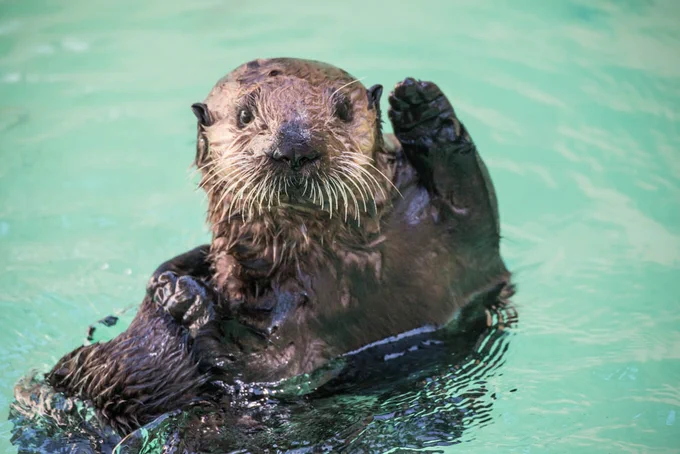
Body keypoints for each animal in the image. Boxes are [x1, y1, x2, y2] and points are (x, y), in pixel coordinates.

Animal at [42, 58, 513, 436]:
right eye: (245, 115)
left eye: (344, 111)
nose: (294, 146)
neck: (338, 271)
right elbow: (256, 365)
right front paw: (178, 294)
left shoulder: (451, 260)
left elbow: (473, 207)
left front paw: (423, 107)